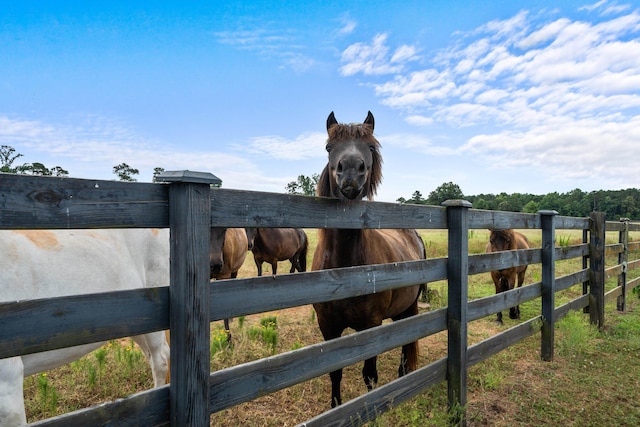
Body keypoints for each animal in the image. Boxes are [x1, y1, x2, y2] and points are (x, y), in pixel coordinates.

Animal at [312, 112, 428, 410]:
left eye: (372, 148)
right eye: (328, 147)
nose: (352, 172)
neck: (345, 272)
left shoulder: (371, 325)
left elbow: (369, 374)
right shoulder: (327, 326)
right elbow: (335, 371)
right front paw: (335, 407)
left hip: (409, 306)